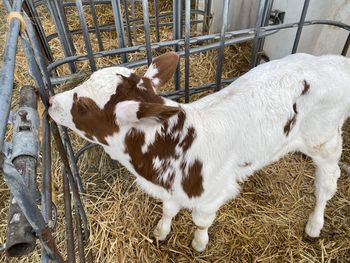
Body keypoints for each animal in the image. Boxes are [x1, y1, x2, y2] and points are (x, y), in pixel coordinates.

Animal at [48, 52, 350, 253]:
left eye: (83, 107)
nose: (50, 101)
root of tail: (335, 63)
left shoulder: (211, 195)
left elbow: (201, 222)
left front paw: (198, 243)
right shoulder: (172, 189)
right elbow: (168, 209)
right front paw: (161, 231)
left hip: (324, 140)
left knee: (327, 182)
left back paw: (314, 224)